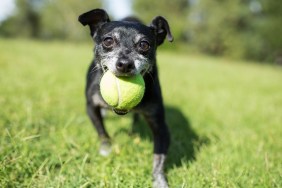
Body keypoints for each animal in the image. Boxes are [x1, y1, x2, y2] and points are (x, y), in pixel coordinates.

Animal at [78, 9, 173, 188]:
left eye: (144, 44)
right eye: (108, 41)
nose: (124, 63)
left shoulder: (160, 126)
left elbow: (159, 158)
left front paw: (159, 180)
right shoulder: (91, 107)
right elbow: (102, 131)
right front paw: (106, 149)